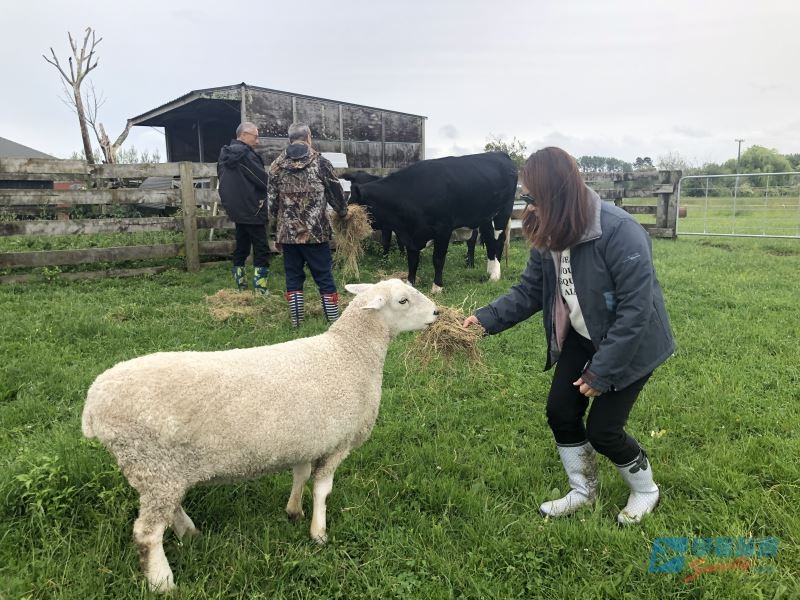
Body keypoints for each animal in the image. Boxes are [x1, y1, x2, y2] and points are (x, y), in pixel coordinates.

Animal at [81, 279, 439, 593]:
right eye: (403, 301)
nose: (437, 313)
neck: (348, 353)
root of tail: (92, 403)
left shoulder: (306, 438)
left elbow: (300, 474)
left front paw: (294, 512)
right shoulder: (338, 442)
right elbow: (322, 490)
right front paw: (319, 534)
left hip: (159, 471)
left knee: (169, 509)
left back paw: (191, 534)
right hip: (152, 463)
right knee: (147, 533)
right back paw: (163, 582)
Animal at [348, 152, 517, 293]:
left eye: (353, 206)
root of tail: (500, 154)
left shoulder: (443, 229)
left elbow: (438, 259)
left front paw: (437, 287)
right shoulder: (411, 236)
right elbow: (412, 260)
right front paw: (410, 285)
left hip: (502, 213)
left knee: (498, 241)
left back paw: (495, 276)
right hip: (485, 218)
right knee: (489, 242)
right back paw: (490, 270)